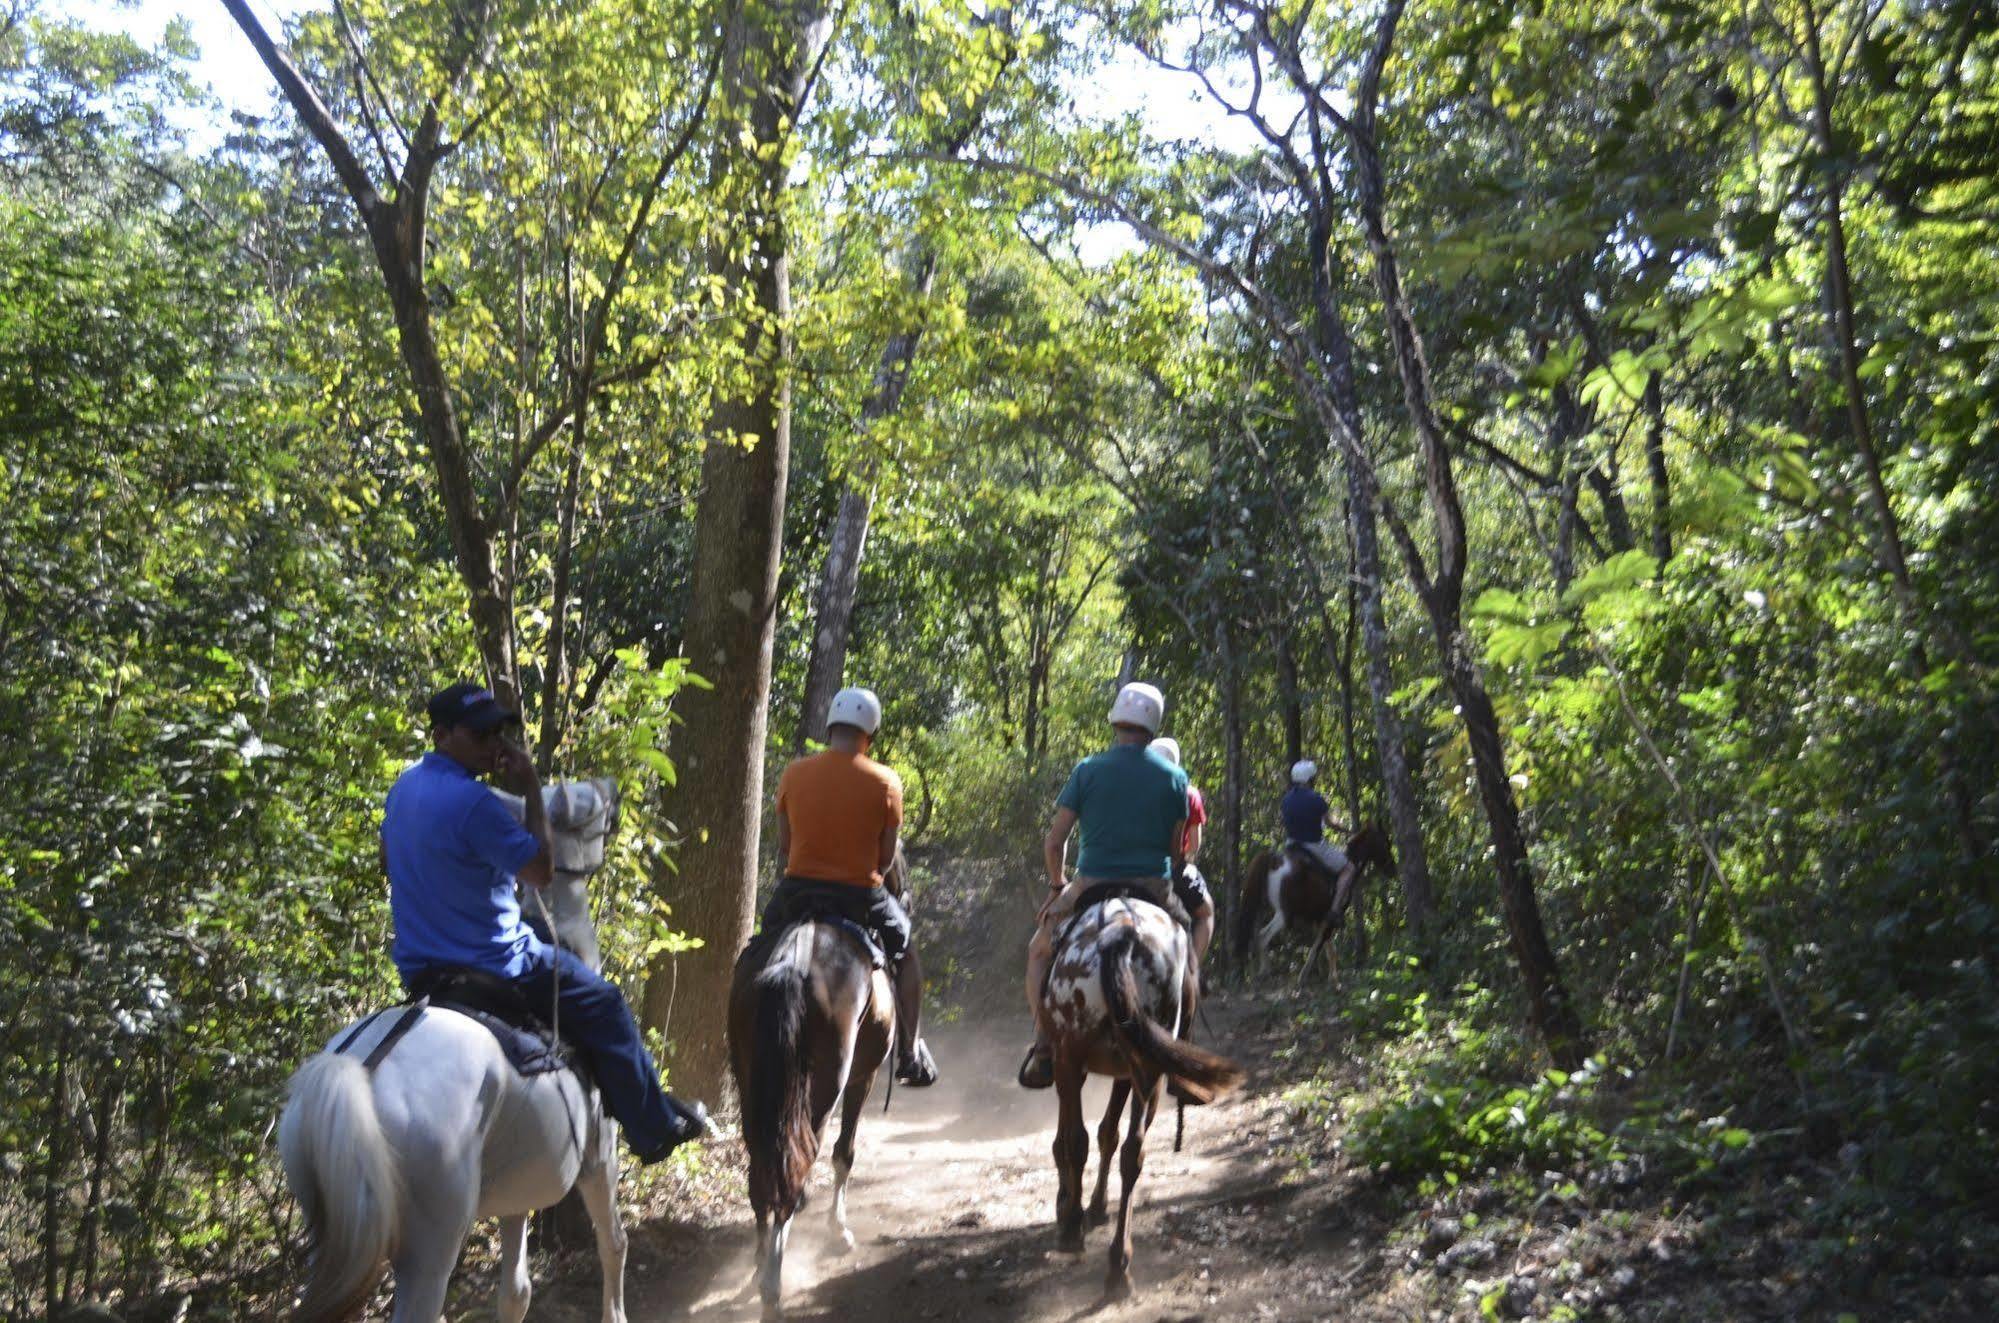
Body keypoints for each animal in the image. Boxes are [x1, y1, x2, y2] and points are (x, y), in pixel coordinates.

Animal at [277, 779, 627, 1323]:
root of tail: (359, 1071)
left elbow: (516, 1291)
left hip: (336, 1236)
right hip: (432, 1244)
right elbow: (612, 1242)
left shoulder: (514, 1195)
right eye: (582, 800)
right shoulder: (599, 1156)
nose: (613, 790)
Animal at [1039, 895, 1239, 1303]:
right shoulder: (1122, 1071)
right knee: (1133, 1152)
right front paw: (1094, 1206)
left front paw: (1072, 1206)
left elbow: (1079, 1137)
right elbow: (1109, 1135)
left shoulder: (1072, 1065)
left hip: (1072, 1052)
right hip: (1147, 1065)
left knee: (1081, 1141)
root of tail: (1124, 930)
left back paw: (1075, 1232)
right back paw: (1119, 1267)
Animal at [1223, 831, 1399, 983]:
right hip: (1284, 914)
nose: (1392, 870)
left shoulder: (1320, 918)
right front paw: (1314, 977)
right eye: (1385, 843)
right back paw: (1264, 972)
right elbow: (1320, 947)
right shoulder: (1331, 917)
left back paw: (1255, 972)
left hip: (1261, 908)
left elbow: (1327, 948)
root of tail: (1274, 861)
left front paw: (1329, 976)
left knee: (1254, 934)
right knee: (1263, 936)